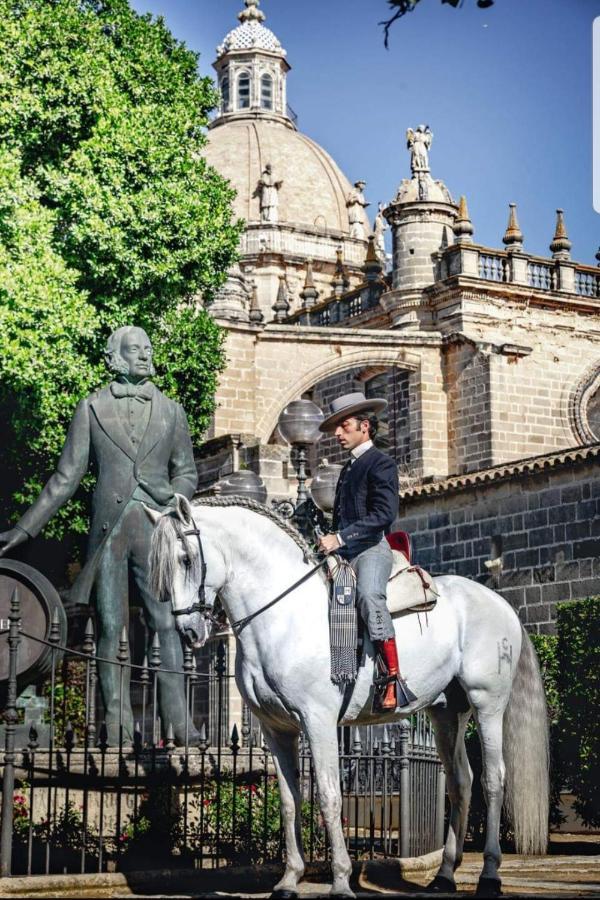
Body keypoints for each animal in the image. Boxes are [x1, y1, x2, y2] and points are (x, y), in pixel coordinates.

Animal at [145, 496, 548, 896]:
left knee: (493, 779)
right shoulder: (277, 730)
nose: (189, 632)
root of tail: (498, 601)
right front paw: (289, 879)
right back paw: (444, 875)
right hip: (448, 713)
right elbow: (289, 801)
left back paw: (490, 875)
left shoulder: (318, 721)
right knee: (460, 782)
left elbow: (328, 796)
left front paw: (340, 880)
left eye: (185, 559)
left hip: (487, 704)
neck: (283, 616)